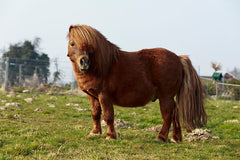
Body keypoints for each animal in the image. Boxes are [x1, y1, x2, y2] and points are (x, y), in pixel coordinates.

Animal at [67, 24, 206, 142]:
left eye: (89, 46)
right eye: (72, 43)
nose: (84, 62)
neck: (102, 66)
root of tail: (178, 58)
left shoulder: (104, 95)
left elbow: (108, 115)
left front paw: (110, 136)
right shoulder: (92, 95)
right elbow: (95, 113)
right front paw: (95, 133)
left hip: (165, 96)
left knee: (168, 115)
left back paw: (161, 137)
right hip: (169, 97)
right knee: (175, 113)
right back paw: (175, 139)